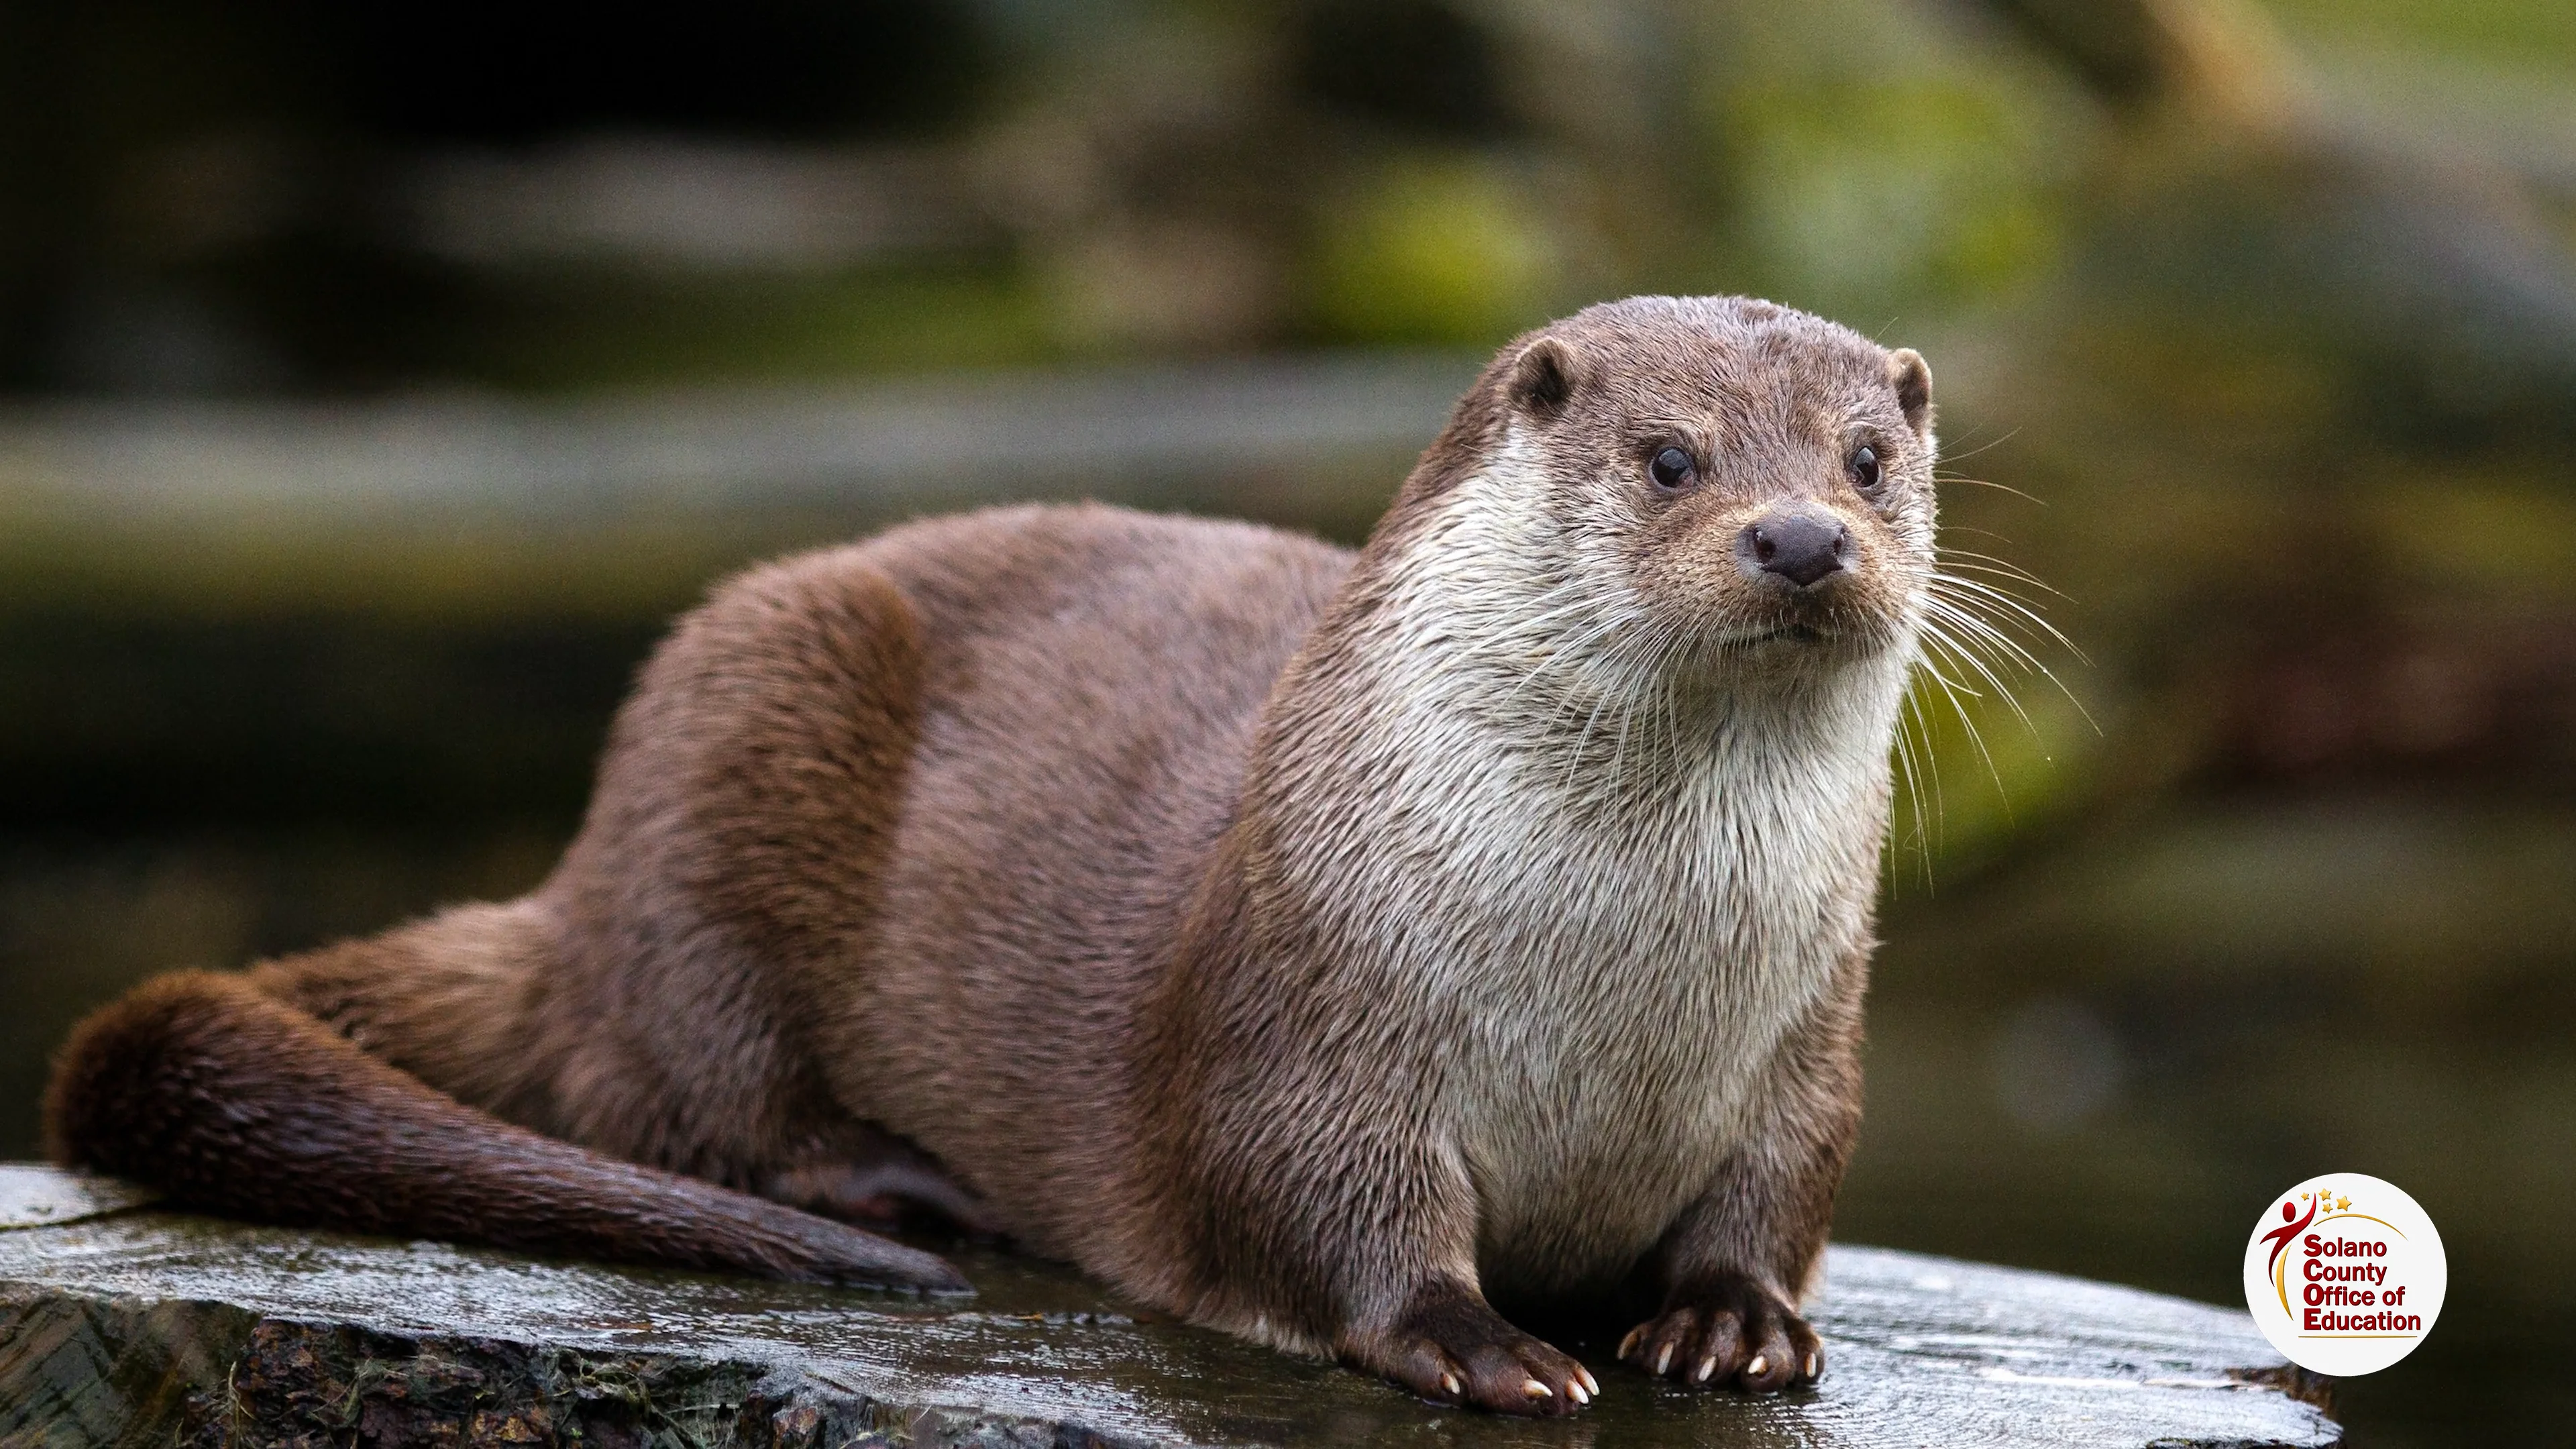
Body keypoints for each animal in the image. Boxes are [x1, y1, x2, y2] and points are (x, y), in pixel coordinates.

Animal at [46, 295, 1939, 1416]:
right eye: (1671, 456)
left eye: (1869, 459)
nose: (1800, 537)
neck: (1615, 991)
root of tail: (577, 888)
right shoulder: (1304, 1011)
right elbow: (1314, 1202)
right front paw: (1482, 1343)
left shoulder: (1811, 1041)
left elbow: (1783, 1190)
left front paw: (1730, 1324)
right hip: (732, 729)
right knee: (671, 1087)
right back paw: (896, 1188)